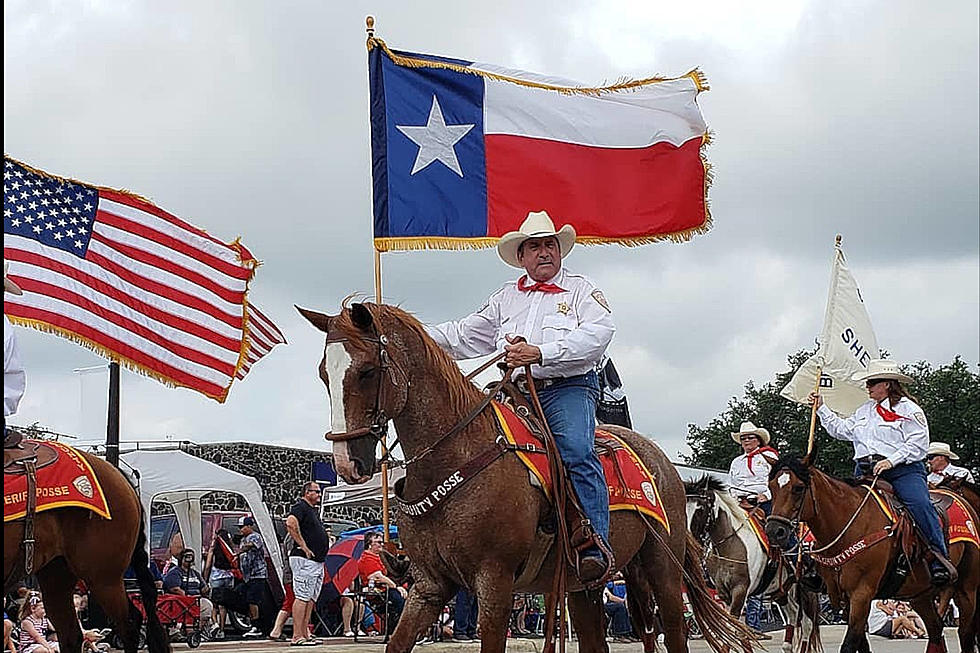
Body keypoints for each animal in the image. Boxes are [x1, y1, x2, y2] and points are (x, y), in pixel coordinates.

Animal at [296, 304, 752, 652]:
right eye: (323, 373)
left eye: (367, 371)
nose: (347, 463)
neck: (455, 456)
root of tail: (661, 461)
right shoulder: (429, 586)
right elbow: (398, 640)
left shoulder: (494, 583)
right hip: (585, 587)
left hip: (662, 570)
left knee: (673, 632)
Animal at [768, 454, 976, 652]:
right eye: (771, 487)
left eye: (798, 488)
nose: (774, 531)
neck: (846, 525)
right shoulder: (845, 598)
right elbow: (862, 644)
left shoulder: (862, 594)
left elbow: (850, 644)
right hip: (919, 594)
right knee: (935, 629)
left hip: (966, 589)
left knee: (965, 634)